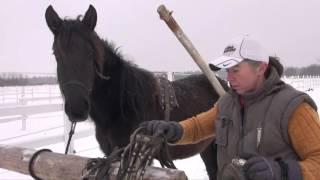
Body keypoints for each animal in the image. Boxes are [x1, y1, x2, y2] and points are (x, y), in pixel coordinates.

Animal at [45, 4, 230, 179]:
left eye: (91, 54)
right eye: (56, 55)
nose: (76, 108)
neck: (121, 105)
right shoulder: (112, 155)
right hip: (205, 149)